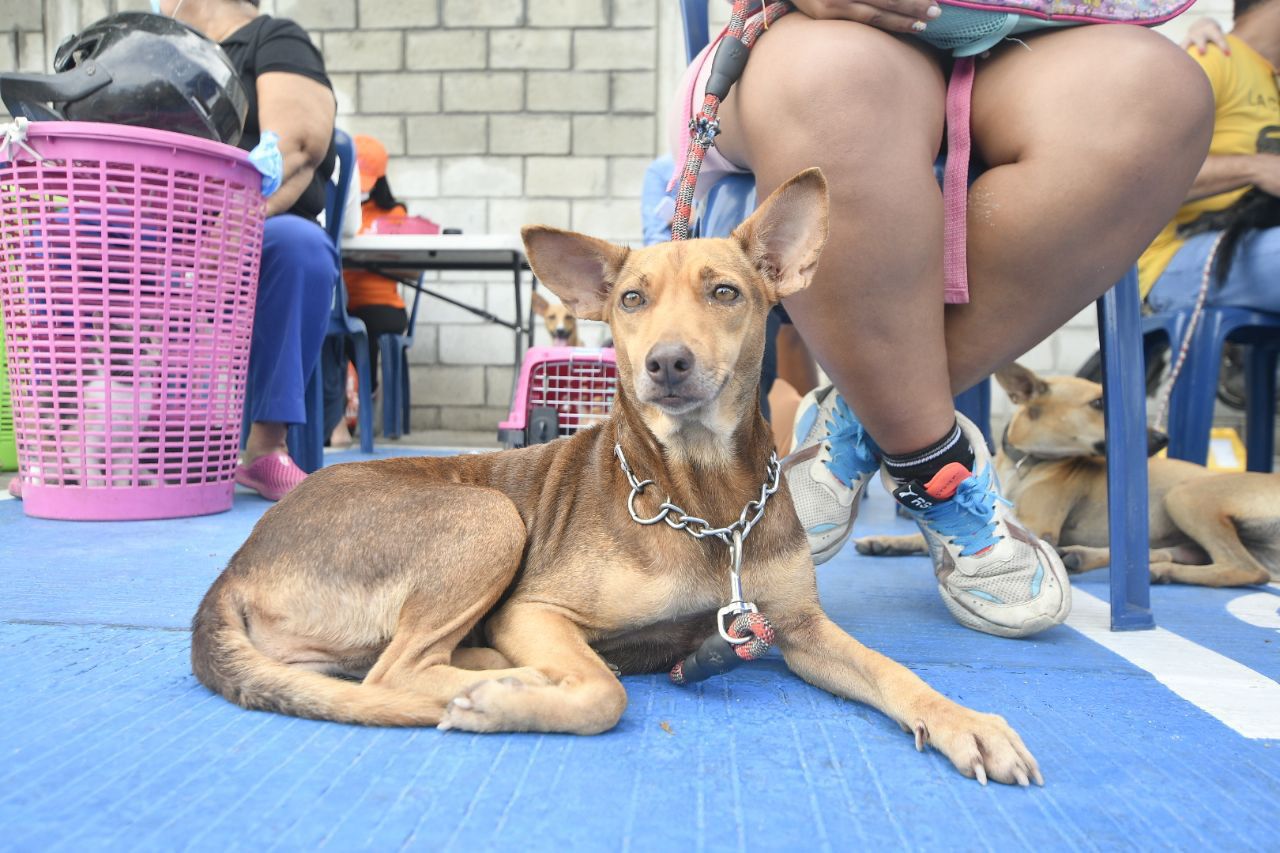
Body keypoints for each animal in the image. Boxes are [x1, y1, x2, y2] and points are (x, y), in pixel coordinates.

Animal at [192, 169, 1049, 788]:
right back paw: (500, 677)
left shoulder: (798, 629)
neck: (704, 493)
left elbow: (892, 670)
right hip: (486, 516)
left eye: (726, 291)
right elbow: (605, 696)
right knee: (396, 671)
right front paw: (513, 700)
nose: (666, 363)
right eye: (632, 299)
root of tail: (233, 569)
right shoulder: (537, 609)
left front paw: (966, 721)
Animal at [855, 361, 1280, 589]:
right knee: (1182, 555)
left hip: (1187, 496)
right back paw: (1101, 560)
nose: (1163, 438)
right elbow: (919, 534)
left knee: (1246, 569)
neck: (1028, 462)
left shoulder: (1038, 525)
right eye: (1097, 403)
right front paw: (886, 541)